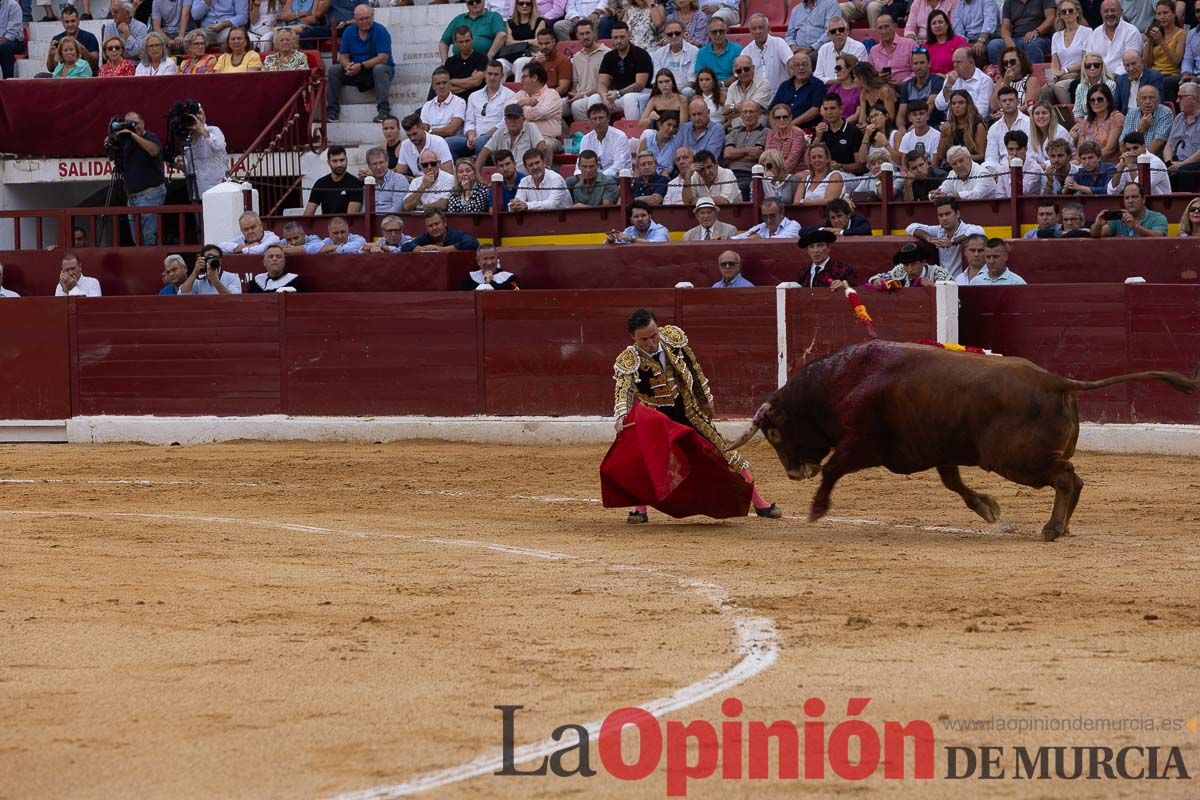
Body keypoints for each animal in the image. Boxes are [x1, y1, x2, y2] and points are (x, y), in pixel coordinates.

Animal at [724, 340, 1195, 542]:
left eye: (775, 432)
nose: (792, 473)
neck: (841, 381)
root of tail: (1054, 380)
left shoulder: (861, 445)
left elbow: (833, 469)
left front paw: (818, 510)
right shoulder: (937, 449)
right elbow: (954, 483)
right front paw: (989, 509)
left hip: (1013, 459)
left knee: (1066, 478)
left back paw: (1052, 528)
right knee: (1073, 479)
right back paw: (1061, 526)